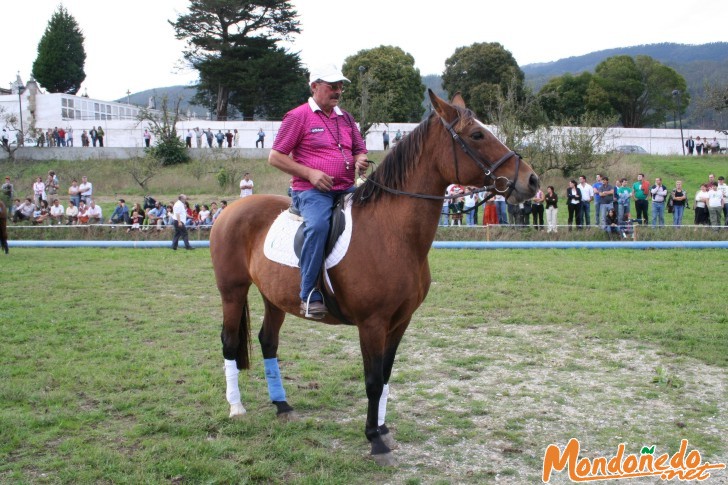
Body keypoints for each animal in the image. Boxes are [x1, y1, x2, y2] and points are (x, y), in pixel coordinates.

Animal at [208, 90, 536, 466]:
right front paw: (374, 441)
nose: (531, 181)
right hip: (232, 291)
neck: (392, 231)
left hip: (273, 297)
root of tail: (230, 210)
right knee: (230, 342)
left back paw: (282, 406)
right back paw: (236, 407)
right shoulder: (372, 323)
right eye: (478, 134)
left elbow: (386, 375)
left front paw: (382, 430)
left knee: (268, 341)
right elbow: (372, 380)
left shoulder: (400, 321)